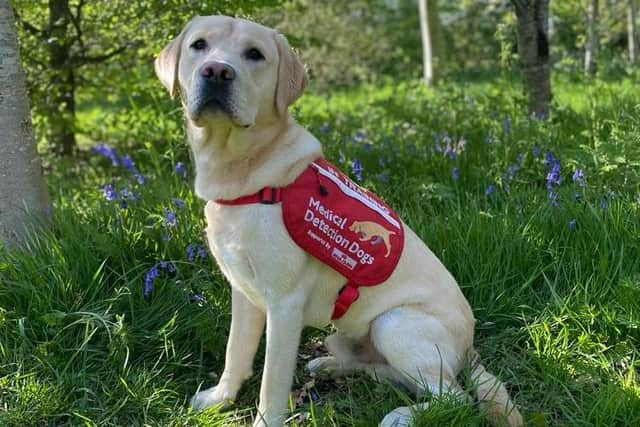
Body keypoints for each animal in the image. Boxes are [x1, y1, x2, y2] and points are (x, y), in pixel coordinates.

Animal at [156, 14, 524, 427]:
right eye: (199, 45)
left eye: (255, 54)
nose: (217, 71)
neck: (245, 174)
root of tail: (471, 345)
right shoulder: (244, 292)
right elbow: (235, 353)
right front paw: (220, 399)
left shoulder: (284, 304)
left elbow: (272, 381)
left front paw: (264, 419)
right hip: (347, 334)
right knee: (386, 372)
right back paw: (332, 366)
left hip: (394, 323)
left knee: (454, 399)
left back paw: (401, 414)